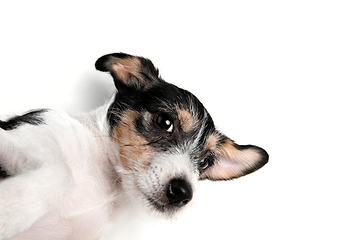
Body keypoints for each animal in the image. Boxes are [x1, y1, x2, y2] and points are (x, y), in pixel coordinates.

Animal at [0, 52, 268, 240]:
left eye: (205, 162)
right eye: (165, 122)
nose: (183, 193)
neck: (109, 182)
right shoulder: (31, 130)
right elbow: (62, 174)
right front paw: (11, 209)